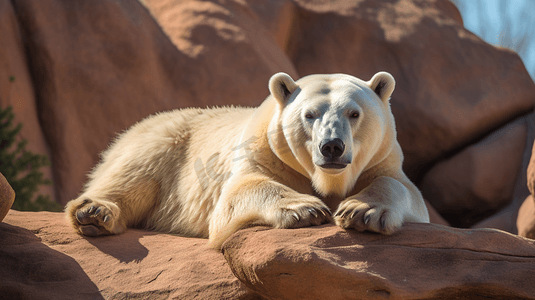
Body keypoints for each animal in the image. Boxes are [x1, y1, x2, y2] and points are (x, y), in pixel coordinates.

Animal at [65, 71, 432, 248]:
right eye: (309, 114)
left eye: (354, 113)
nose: (332, 147)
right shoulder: (263, 153)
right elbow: (238, 192)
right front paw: (306, 208)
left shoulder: (382, 159)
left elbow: (407, 193)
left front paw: (361, 211)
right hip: (164, 141)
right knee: (132, 175)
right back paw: (94, 213)